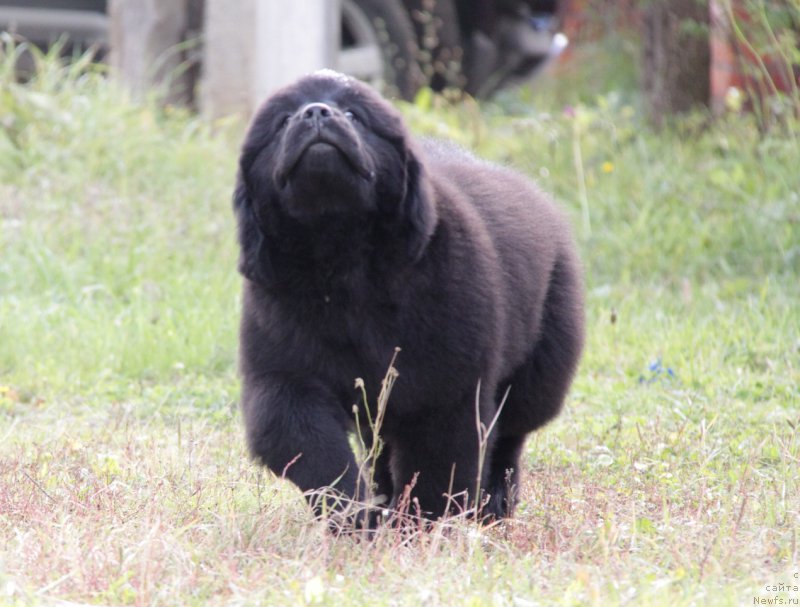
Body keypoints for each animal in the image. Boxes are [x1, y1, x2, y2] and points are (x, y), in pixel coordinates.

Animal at [234, 71, 584, 524]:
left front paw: (423, 528)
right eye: (282, 122)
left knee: (510, 433)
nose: (315, 113)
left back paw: (495, 504)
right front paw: (355, 517)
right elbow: (319, 455)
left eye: (354, 114)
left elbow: (437, 468)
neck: (343, 262)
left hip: (541, 370)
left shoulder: (446, 391)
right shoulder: (285, 380)